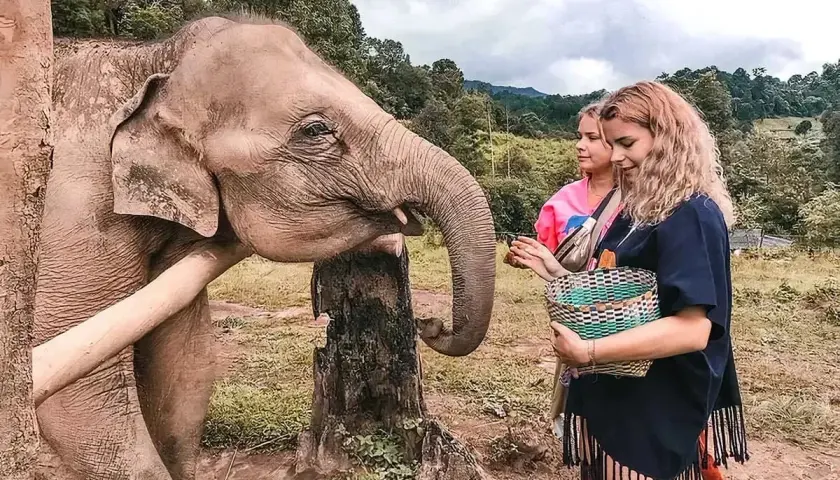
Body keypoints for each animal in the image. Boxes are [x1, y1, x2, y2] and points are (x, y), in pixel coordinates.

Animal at [34, 15, 496, 480]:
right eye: (315, 130)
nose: (431, 324)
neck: (150, 60)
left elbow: (185, 359)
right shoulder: (73, 210)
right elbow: (83, 394)